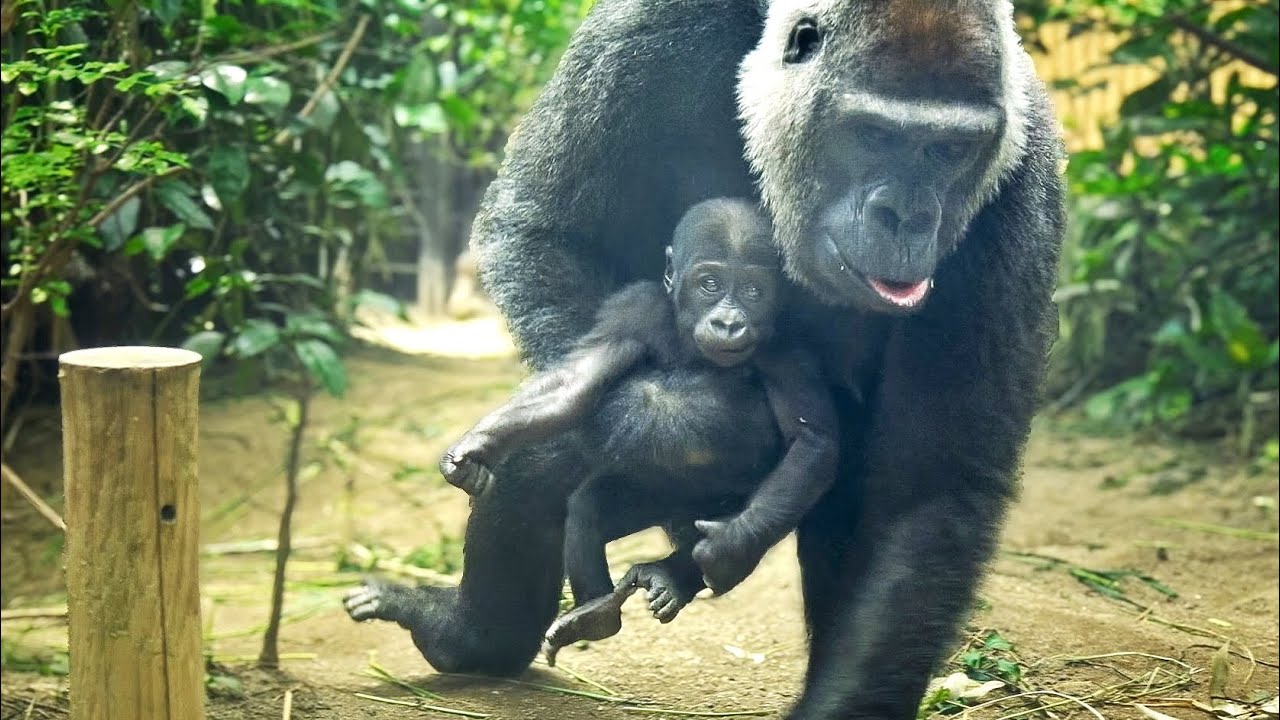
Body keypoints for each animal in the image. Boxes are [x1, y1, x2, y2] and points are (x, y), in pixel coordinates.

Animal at [429, 198, 837, 664]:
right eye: (710, 284)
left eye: (754, 291)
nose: (729, 322)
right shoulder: (633, 309)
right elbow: (573, 385)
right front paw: (472, 450)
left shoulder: (790, 348)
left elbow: (810, 440)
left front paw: (731, 543)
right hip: (653, 495)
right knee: (590, 506)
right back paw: (596, 613)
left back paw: (677, 576)